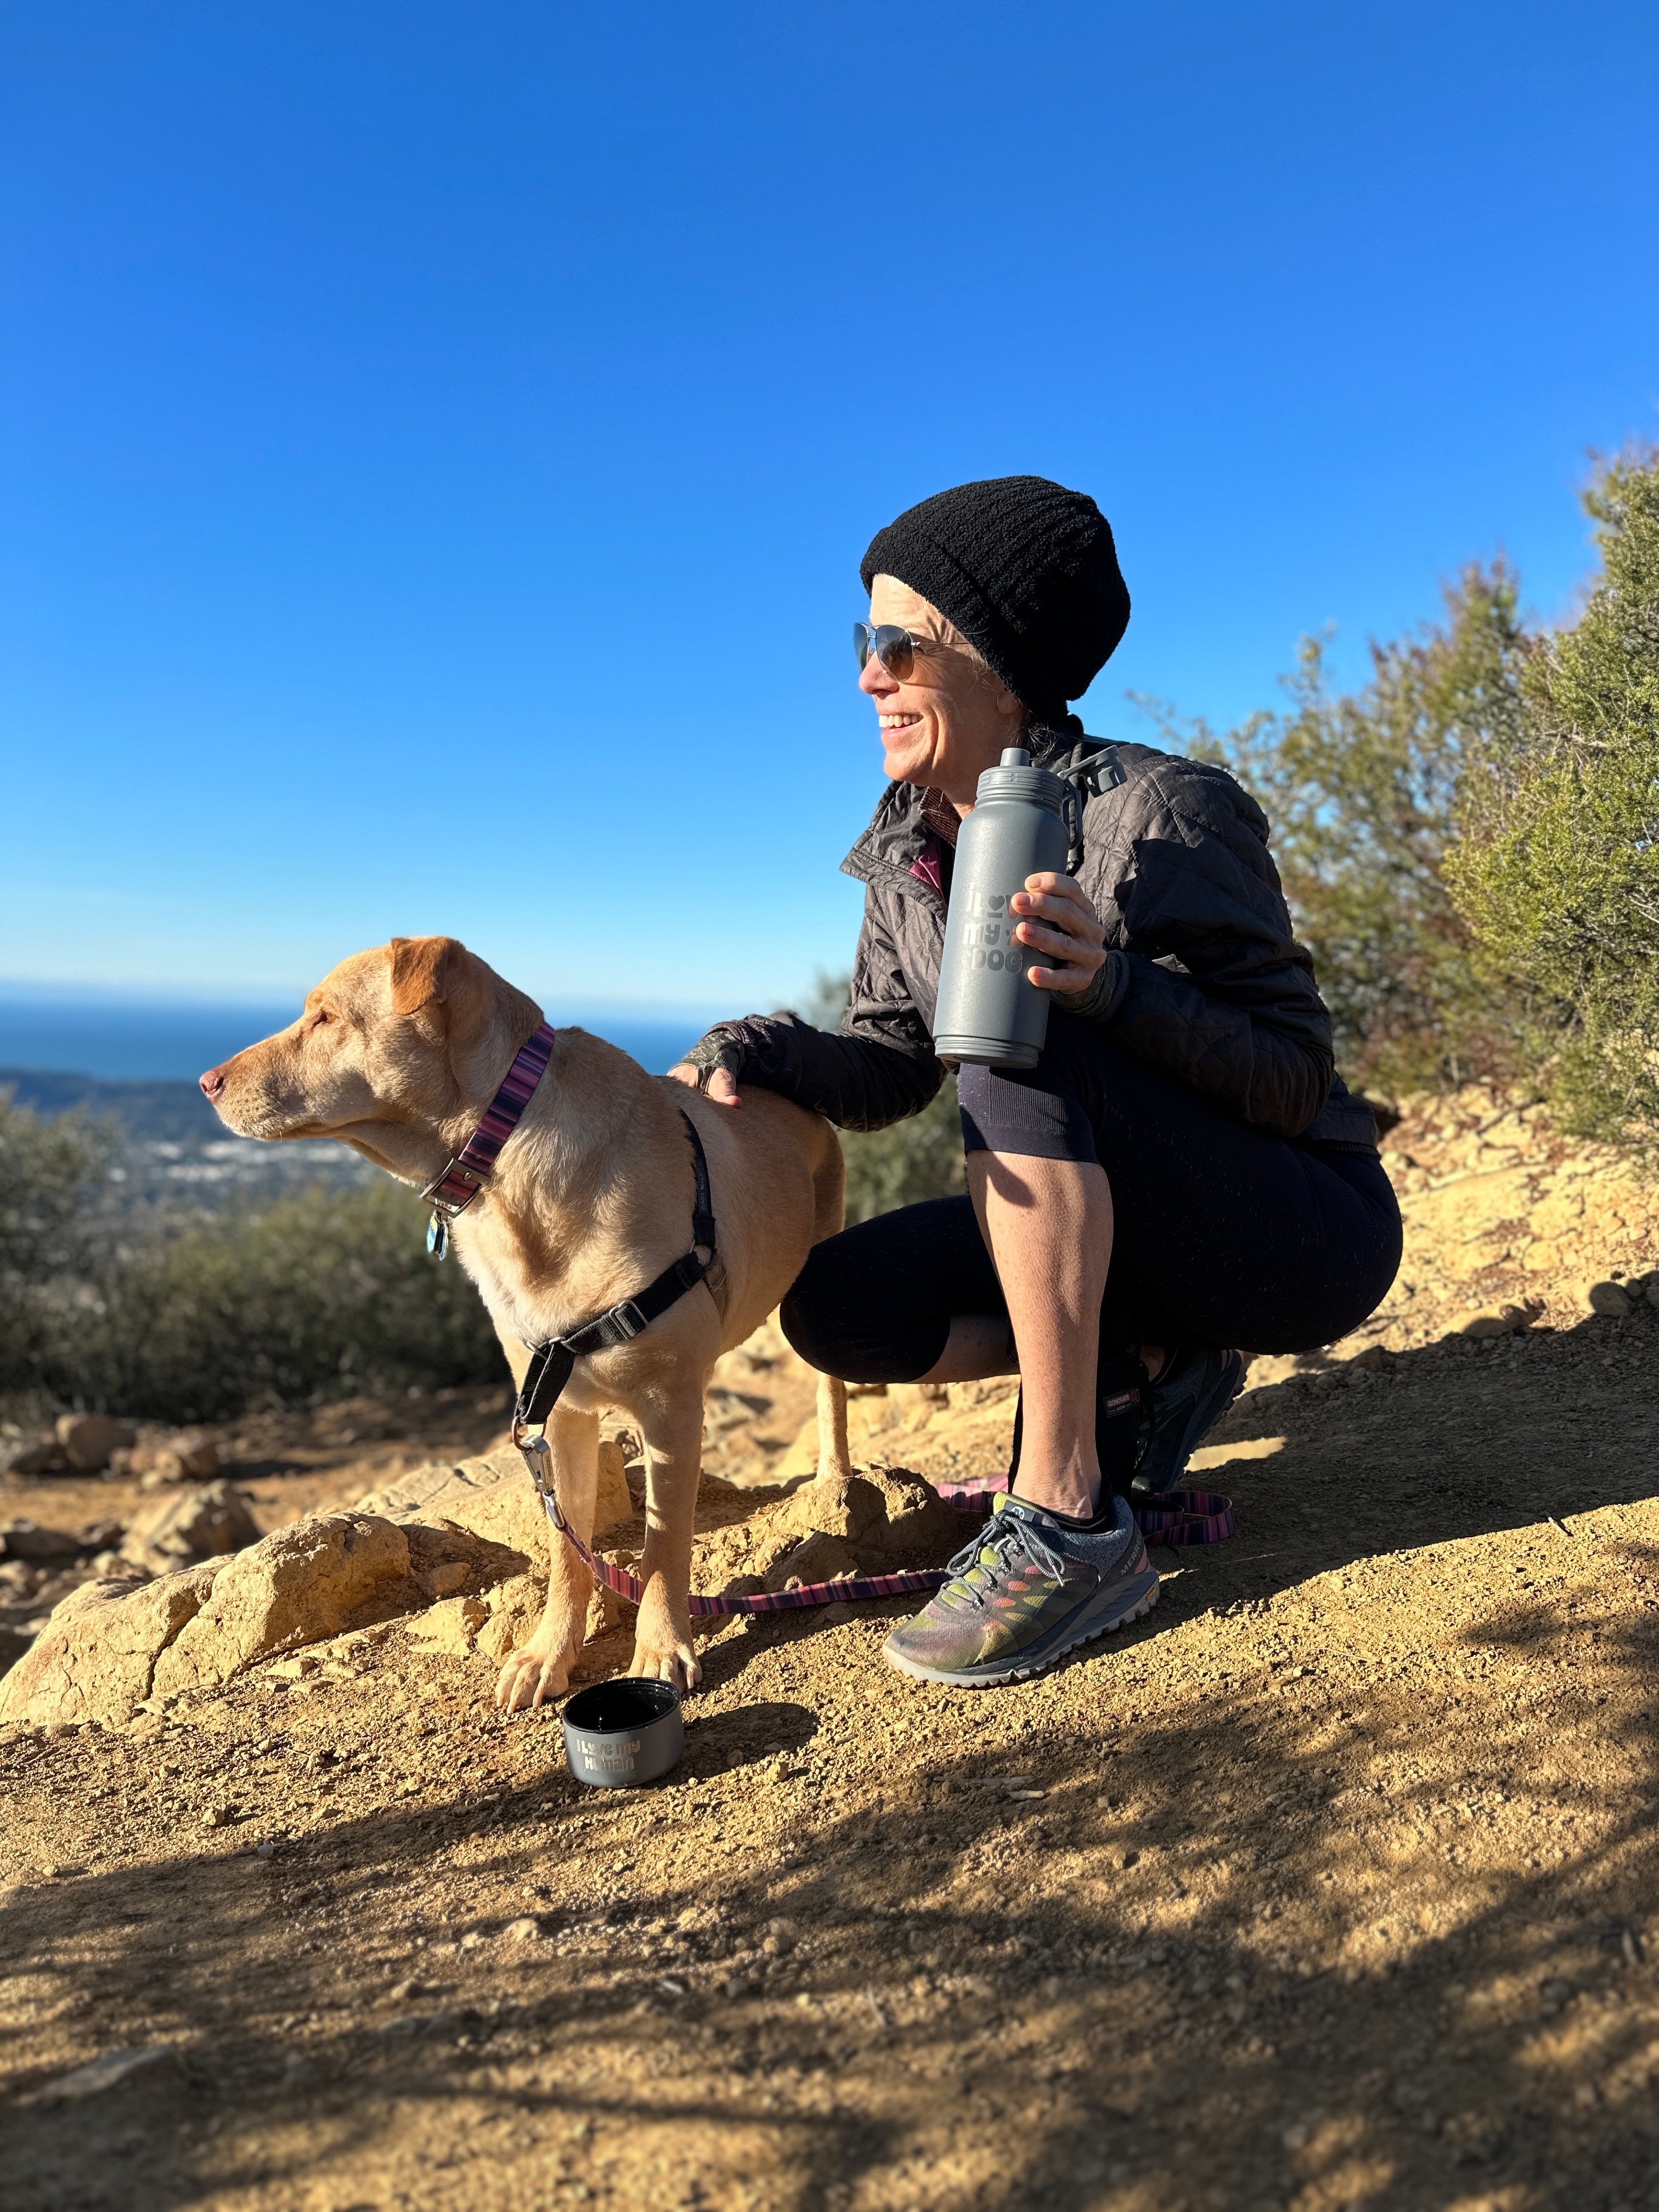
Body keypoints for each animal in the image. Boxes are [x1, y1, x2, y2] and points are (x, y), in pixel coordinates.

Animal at [201, 942, 849, 1699]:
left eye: (326, 1016)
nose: (206, 1082)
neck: (506, 1157)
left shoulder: (670, 1409)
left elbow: (663, 1544)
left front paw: (661, 1647)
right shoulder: (560, 1410)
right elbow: (570, 1550)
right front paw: (550, 1652)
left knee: (831, 1394)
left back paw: (836, 1478)